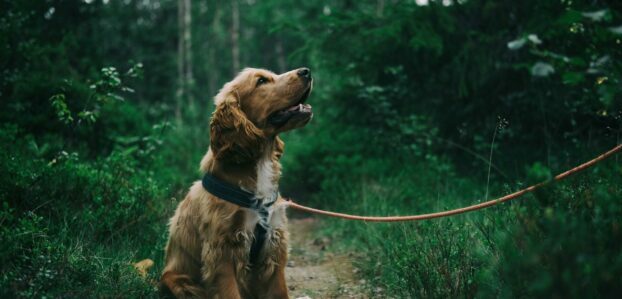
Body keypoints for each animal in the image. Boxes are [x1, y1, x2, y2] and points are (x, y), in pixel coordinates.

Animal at [161, 68, 314, 299]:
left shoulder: (274, 246)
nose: (306, 71)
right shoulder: (222, 252)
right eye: (261, 81)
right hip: (181, 283)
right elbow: (229, 291)